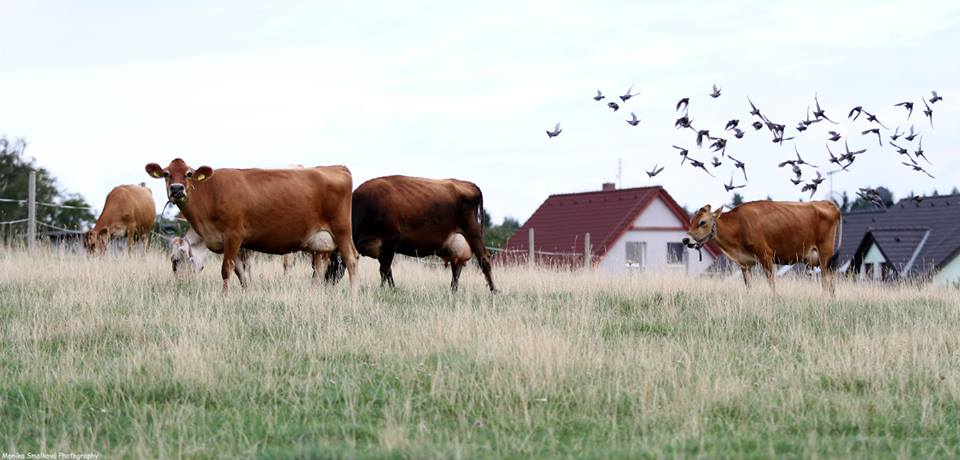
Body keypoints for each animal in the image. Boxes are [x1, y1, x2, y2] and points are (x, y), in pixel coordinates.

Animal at [145, 158, 359, 291]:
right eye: (166, 174)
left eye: (189, 174)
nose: (177, 189)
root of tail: (337, 167)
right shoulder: (239, 245)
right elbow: (241, 272)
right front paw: (246, 293)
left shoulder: (233, 236)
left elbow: (226, 270)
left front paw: (225, 297)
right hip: (320, 242)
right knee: (320, 268)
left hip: (342, 231)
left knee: (351, 261)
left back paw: (353, 297)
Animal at [328, 175, 495, 292]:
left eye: (330, 260)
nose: (325, 283)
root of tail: (467, 183)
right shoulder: (382, 249)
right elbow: (388, 271)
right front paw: (393, 290)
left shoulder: (390, 242)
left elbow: (384, 270)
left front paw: (382, 290)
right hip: (456, 244)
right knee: (457, 267)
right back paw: (452, 292)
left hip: (472, 232)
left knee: (484, 259)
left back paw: (494, 291)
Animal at [681, 200, 842, 294]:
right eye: (691, 220)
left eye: (702, 222)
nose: (685, 239)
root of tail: (828, 203)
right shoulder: (745, 264)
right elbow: (748, 286)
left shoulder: (766, 255)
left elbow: (771, 284)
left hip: (825, 254)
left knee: (828, 281)